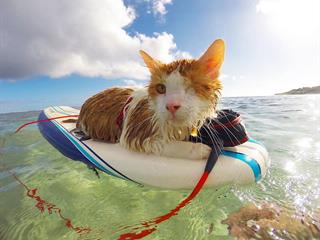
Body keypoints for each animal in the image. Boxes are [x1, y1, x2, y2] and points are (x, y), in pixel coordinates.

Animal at [76, 39, 225, 159]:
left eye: (191, 87)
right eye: (161, 88)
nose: (171, 106)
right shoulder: (135, 135)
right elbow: (168, 145)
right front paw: (198, 149)